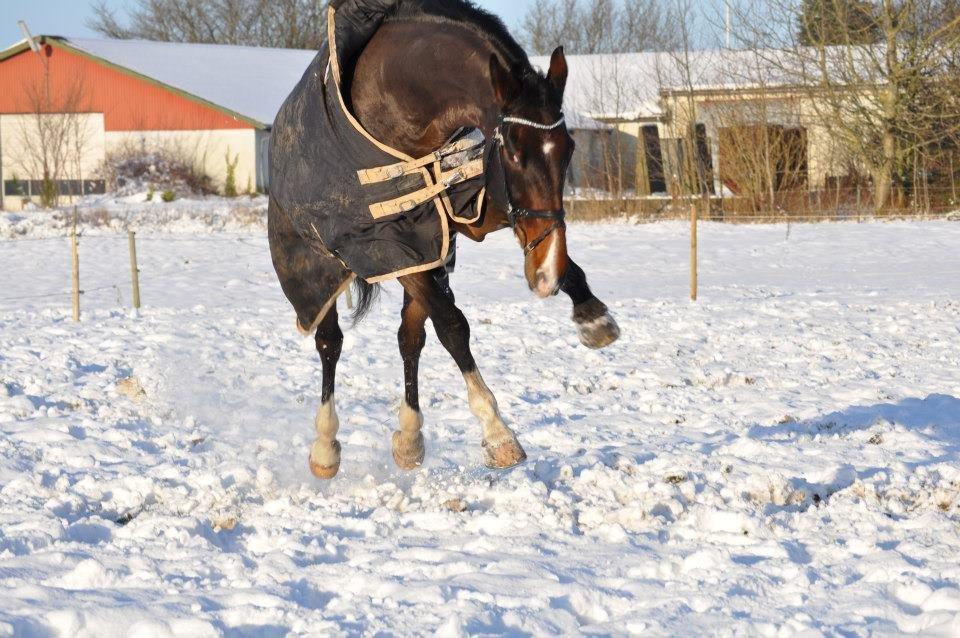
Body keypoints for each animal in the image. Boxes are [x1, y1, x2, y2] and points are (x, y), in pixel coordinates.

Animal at [268, 0, 624, 480]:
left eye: (568, 147)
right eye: (513, 151)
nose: (543, 276)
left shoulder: (461, 213)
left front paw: (591, 315)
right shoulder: (393, 242)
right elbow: (454, 328)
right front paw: (498, 434)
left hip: (434, 253)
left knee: (409, 338)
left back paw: (409, 439)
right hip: (321, 269)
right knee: (331, 342)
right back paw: (325, 448)